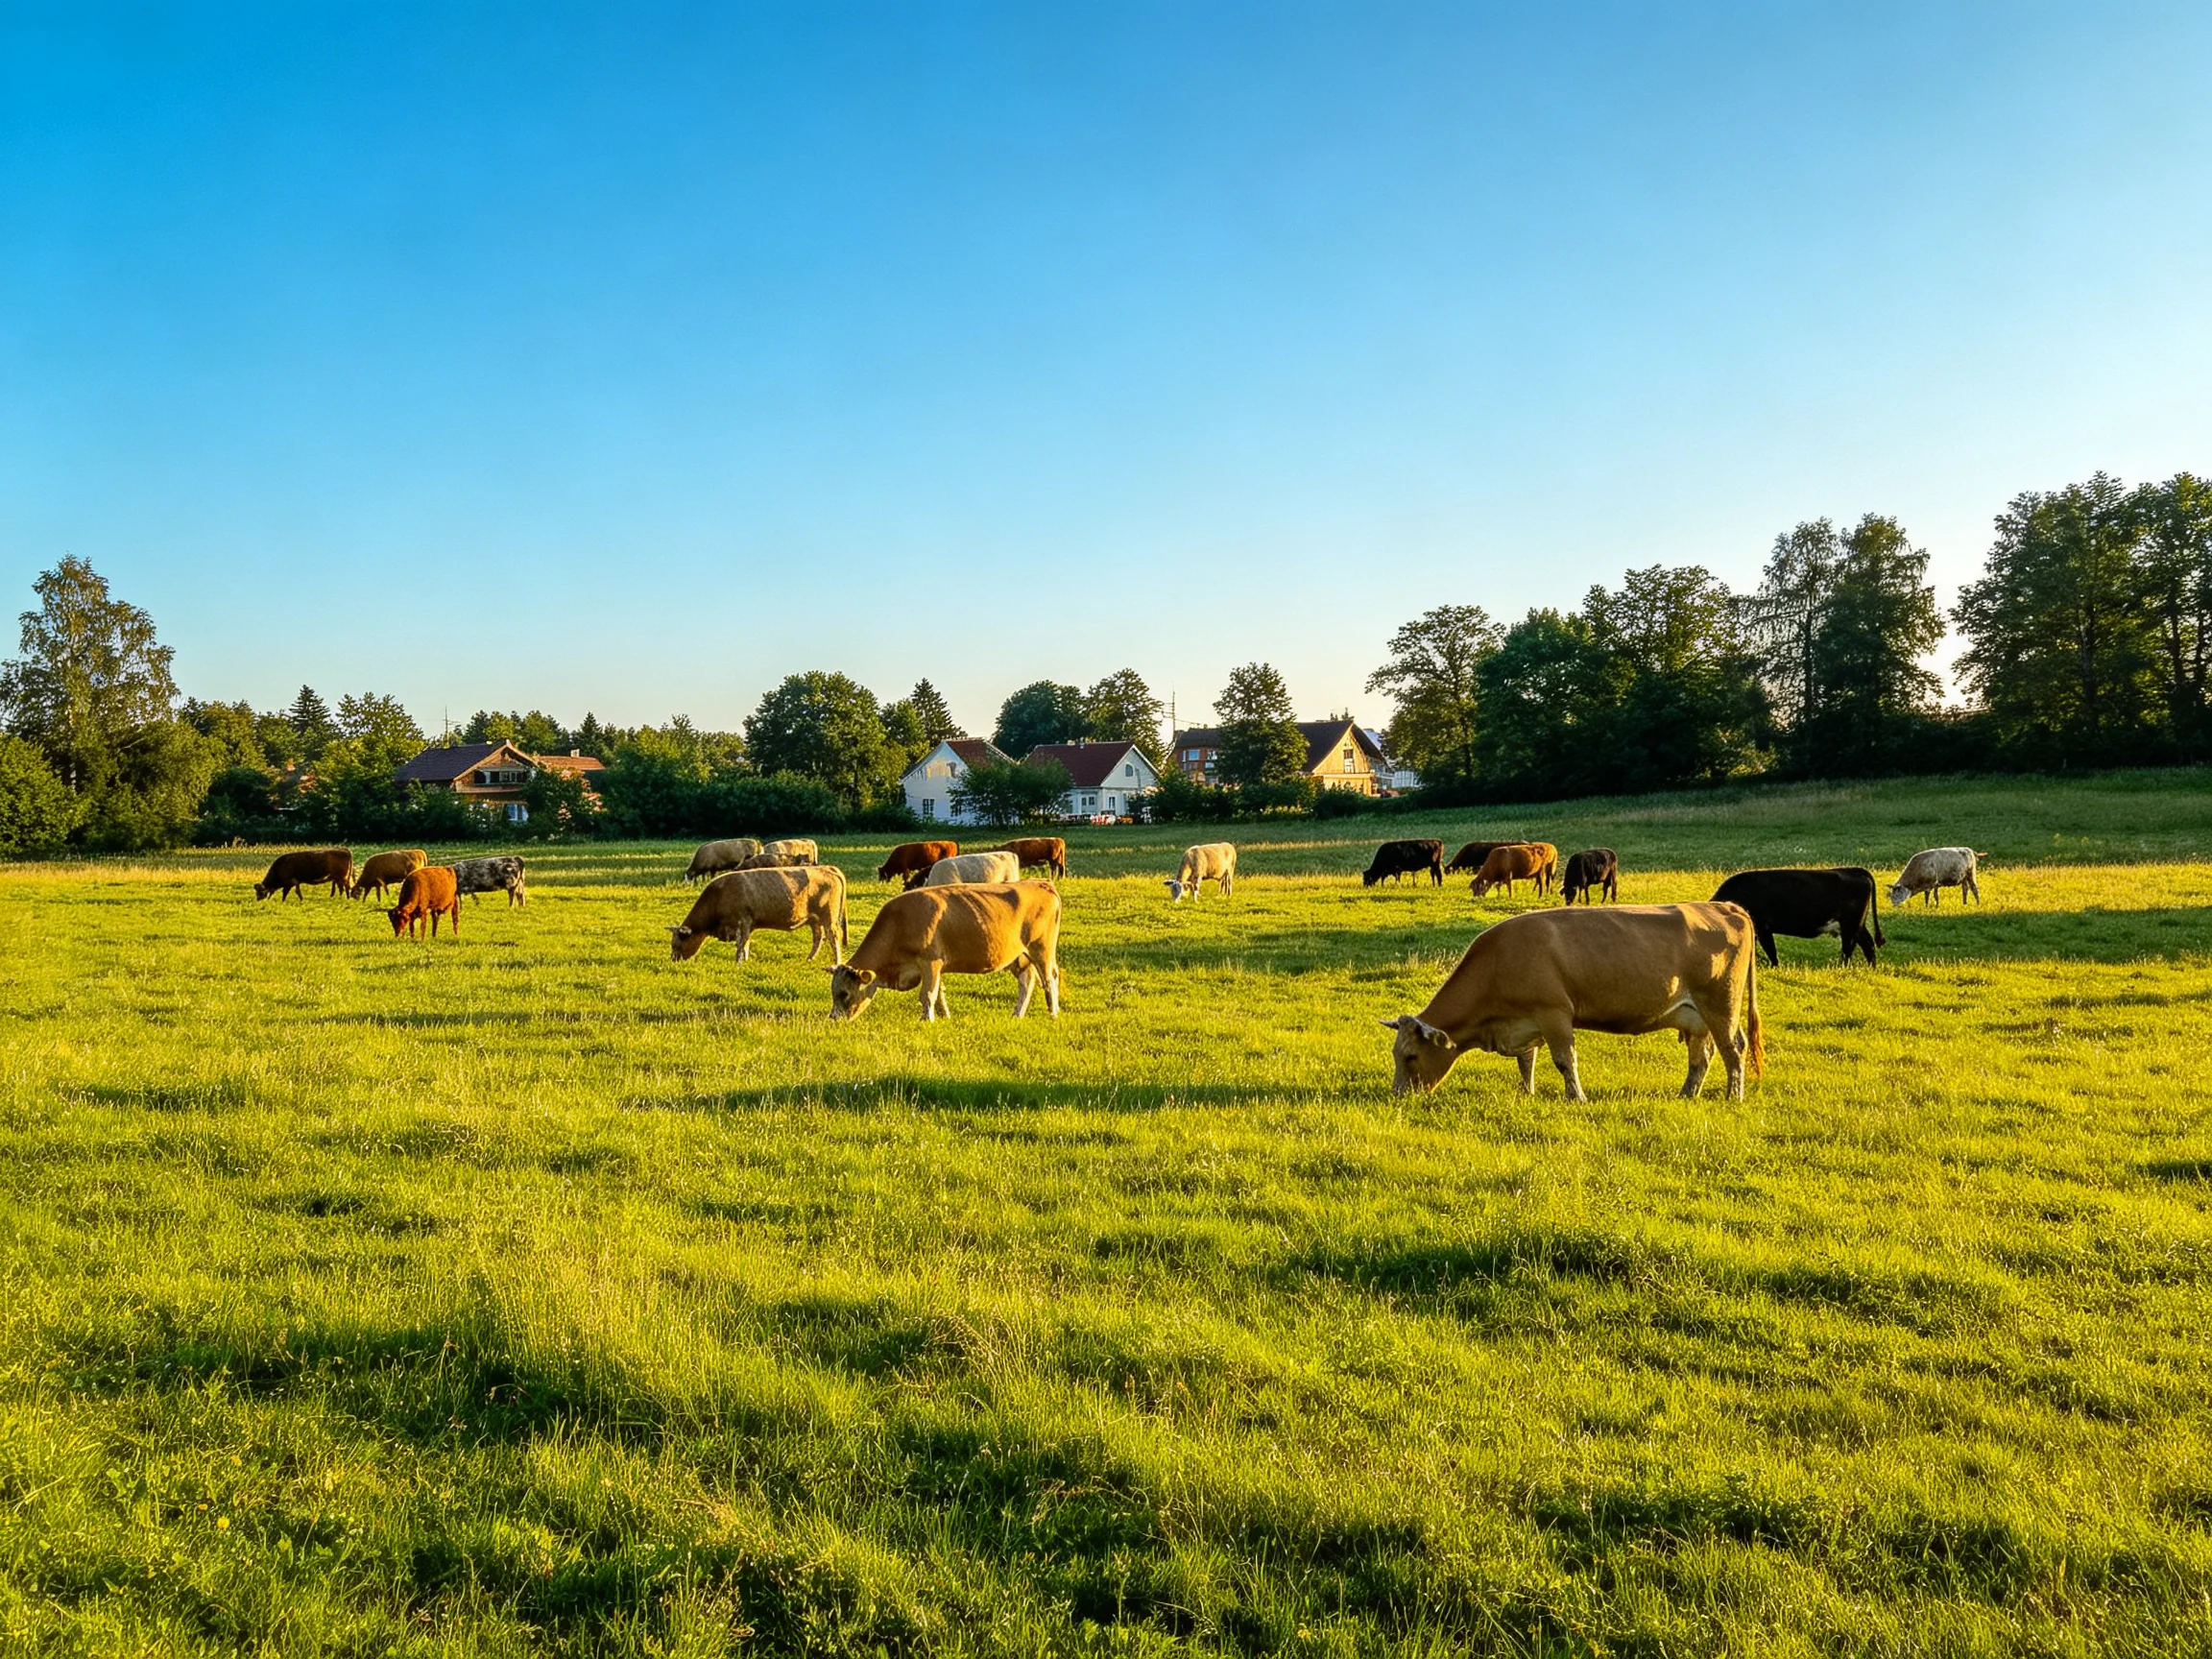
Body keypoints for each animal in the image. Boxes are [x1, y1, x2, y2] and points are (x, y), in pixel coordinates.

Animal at [668, 865, 848, 965]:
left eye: (677, 945)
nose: (673, 960)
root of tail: (827, 868)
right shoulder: (748, 924)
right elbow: (746, 943)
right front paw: (745, 960)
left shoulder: (743, 921)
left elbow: (741, 944)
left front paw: (739, 962)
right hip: (815, 920)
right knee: (818, 937)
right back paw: (809, 959)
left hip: (829, 918)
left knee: (833, 938)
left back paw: (837, 962)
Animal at [829, 881, 1062, 1022]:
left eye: (845, 993)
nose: (832, 1018)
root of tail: (1041, 883)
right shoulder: (936, 965)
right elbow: (939, 992)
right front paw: (944, 1015)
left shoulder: (930, 961)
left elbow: (928, 994)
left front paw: (927, 1020)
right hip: (1020, 957)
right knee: (1027, 982)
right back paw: (1017, 1014)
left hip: (1041, 950)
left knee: (1049, 978)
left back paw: (1053, 1012)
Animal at [1381, 903, 1763, 1102]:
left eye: (1411, 1056)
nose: (1397, 1095)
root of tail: (1723, 907)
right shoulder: (1525, 1022)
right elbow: (1526, 1062)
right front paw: (1527, 1093)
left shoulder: (1554, 1015)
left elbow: (1565, 1060)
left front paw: (1576, 1097)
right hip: (1696, 1017)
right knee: (1702, 1056)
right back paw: (1687, 1094)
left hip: (1721, 1006)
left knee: (1733, 1049)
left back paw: (1734, 1096)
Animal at [1710, 867, 1884, 967]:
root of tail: (1855, 870)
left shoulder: (1763, 927)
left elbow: (1771, 951)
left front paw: (1774, 967)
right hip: (1857, 925)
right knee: (1867, 943)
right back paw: (1871, 968)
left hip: (1850, 925)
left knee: (1849, 947)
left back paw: (1841, 967)